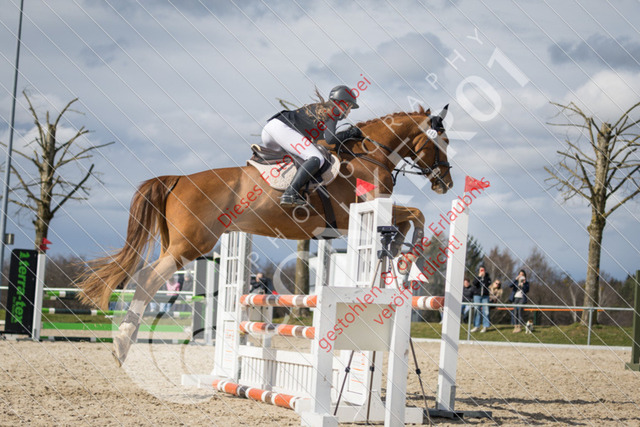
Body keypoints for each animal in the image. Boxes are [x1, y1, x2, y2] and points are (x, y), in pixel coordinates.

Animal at [77, 105, 453, 365]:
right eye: (444, 143)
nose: (445, 183)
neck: (370, 156)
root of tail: (178, 178)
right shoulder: (359, 213)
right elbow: (416, 215)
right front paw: (411, 253)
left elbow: (405, 222)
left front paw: (400, 257)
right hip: (190, 246)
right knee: (146, 280)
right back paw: (122, 344)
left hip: (176, 245)